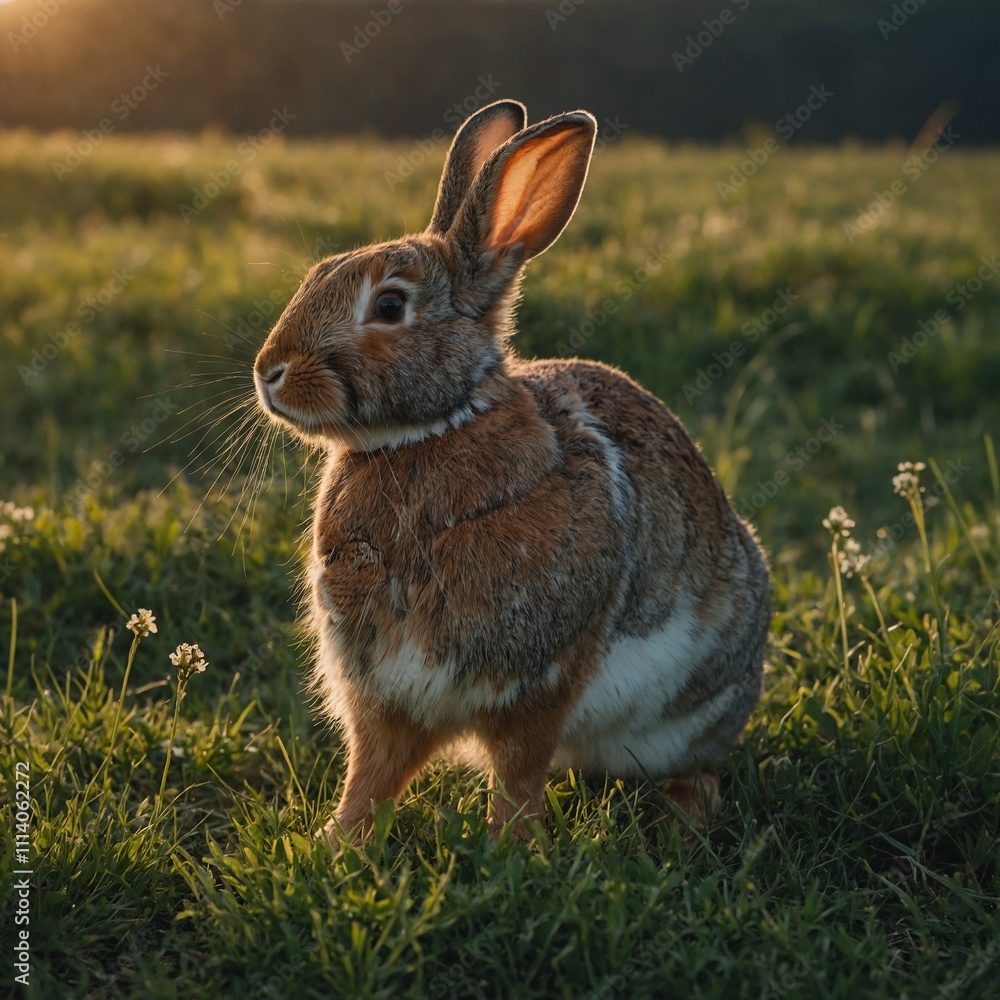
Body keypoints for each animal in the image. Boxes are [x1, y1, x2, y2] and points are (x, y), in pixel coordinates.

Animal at [252, 99, 770, 842]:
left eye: (389, 306)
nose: (269, 372)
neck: (430, 432)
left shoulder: (539, 677)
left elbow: (519, 771)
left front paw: (512, 847)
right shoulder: (384, 689)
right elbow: (373, 773)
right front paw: (338, 843)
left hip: (698, 706)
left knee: (696, 767)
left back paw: (686, 817)